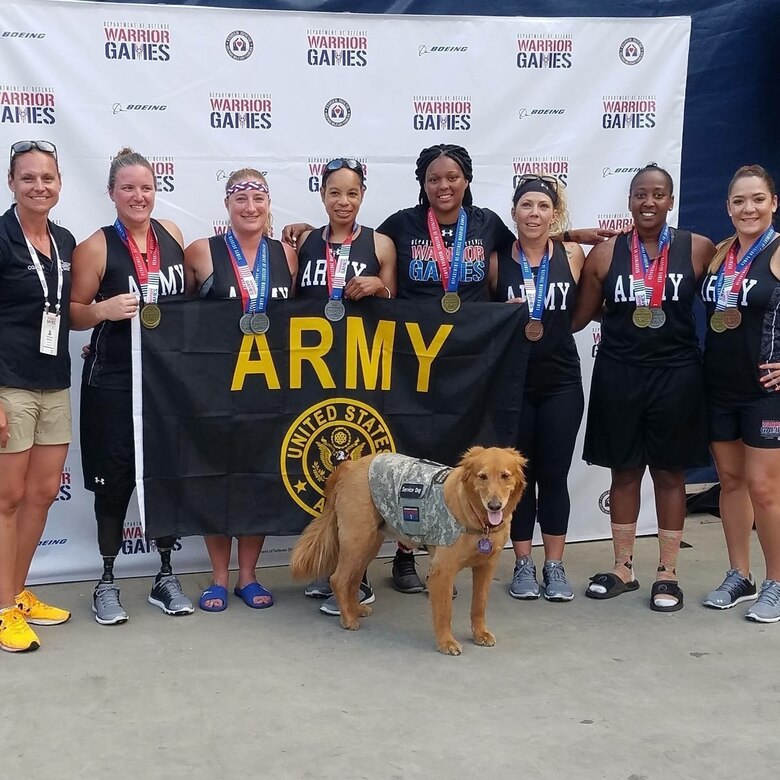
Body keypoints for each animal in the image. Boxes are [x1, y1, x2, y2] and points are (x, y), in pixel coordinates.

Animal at [290, 448, 528, 656]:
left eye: (505, 476)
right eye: (482, 476)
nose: (495, 505)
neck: (476, 518)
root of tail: (350, 464)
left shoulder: (486, 566)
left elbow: (479, 605)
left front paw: (480, 634)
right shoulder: (443, 571)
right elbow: (445, 612)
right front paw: (446, 642)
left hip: (368, 544)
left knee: (353, 579)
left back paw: (355, 608)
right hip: (357, 539)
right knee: (338, 578)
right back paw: (348, 618)